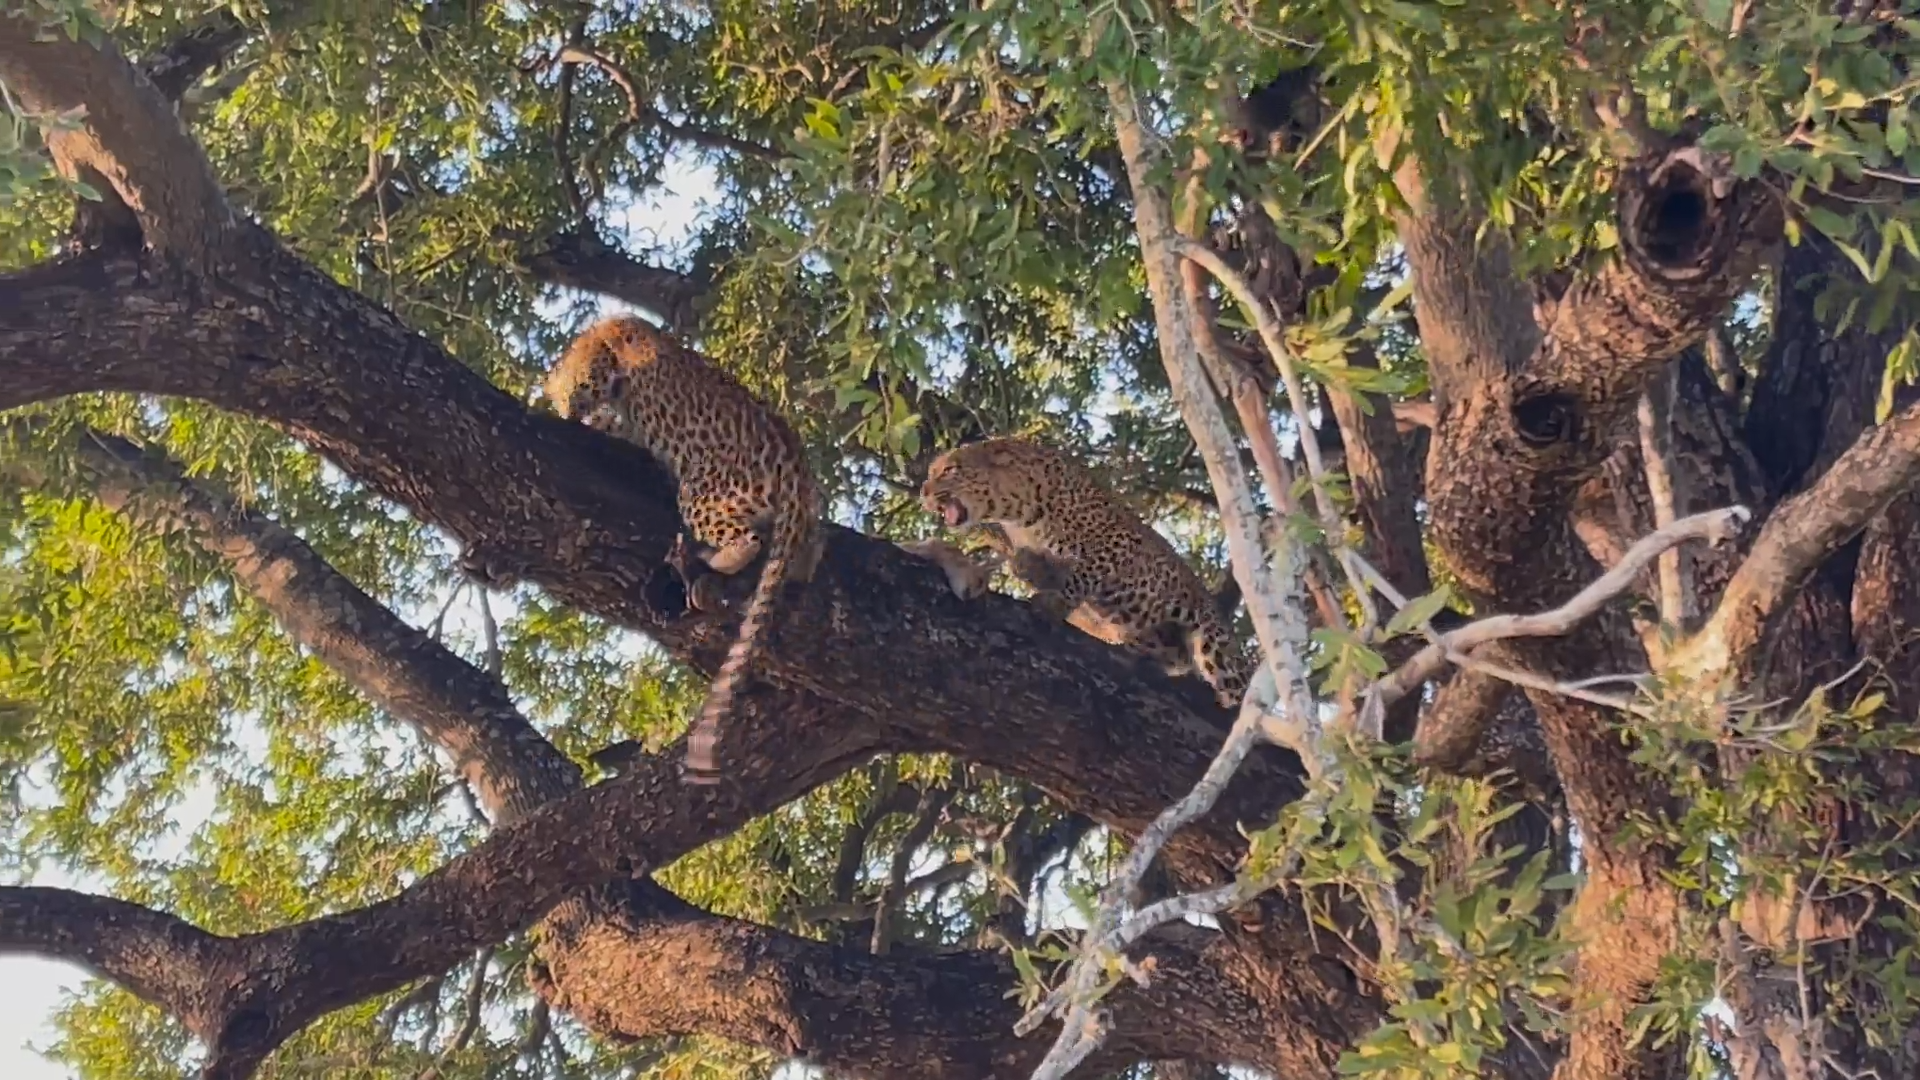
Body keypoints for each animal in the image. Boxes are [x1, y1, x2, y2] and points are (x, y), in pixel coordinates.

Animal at [543, 314, 824, 784]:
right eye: (563, 395)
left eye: (575, 387)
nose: (567, 413)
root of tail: (796, 475)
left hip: (699, 492)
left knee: (747, 540)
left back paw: (712, 559)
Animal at [919, 436, 1253, 708]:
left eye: (949, 470)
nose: (922, 491)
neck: (1018, 513)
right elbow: (1037, 565)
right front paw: (1032, 570)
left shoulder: (1115, 548)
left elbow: (1082, 575)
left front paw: (1054, 601)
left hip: (1216, 646)